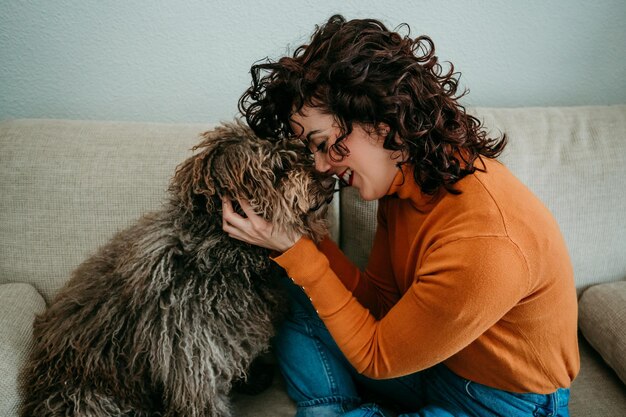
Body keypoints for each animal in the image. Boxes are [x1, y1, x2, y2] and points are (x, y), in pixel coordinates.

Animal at [18, 121, 332, 416]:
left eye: (298, 152)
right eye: (280, 168)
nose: (328, 182)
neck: (214, 255)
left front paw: (253, 378)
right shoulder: (192, 361)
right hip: (88, 401)